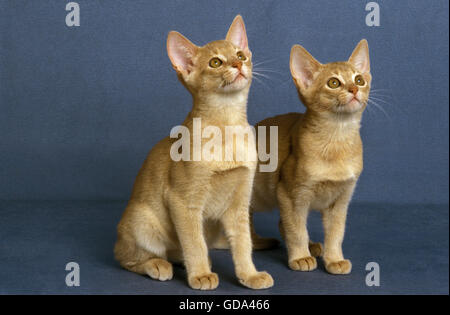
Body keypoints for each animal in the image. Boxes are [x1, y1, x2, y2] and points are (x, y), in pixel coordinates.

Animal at [113, 14, 274, 292]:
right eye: (215, 62)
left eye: (240, 55)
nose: (237, 64)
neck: (227, 128)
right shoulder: (182, 202)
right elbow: (194, 242)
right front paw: (200, 275)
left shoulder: (239, 204)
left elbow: (243, 244)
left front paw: (249, 275)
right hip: (141, 219)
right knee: (126, 256)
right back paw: (158, 265)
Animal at [251, 40, 370, 276]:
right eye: (333, 83)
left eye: (359, 80)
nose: (354, 89)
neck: (337, 139)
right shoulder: (289, 194)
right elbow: (296, 230)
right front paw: (300, 257)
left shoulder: (341, 200)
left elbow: (336, 233)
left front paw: (334, 260)